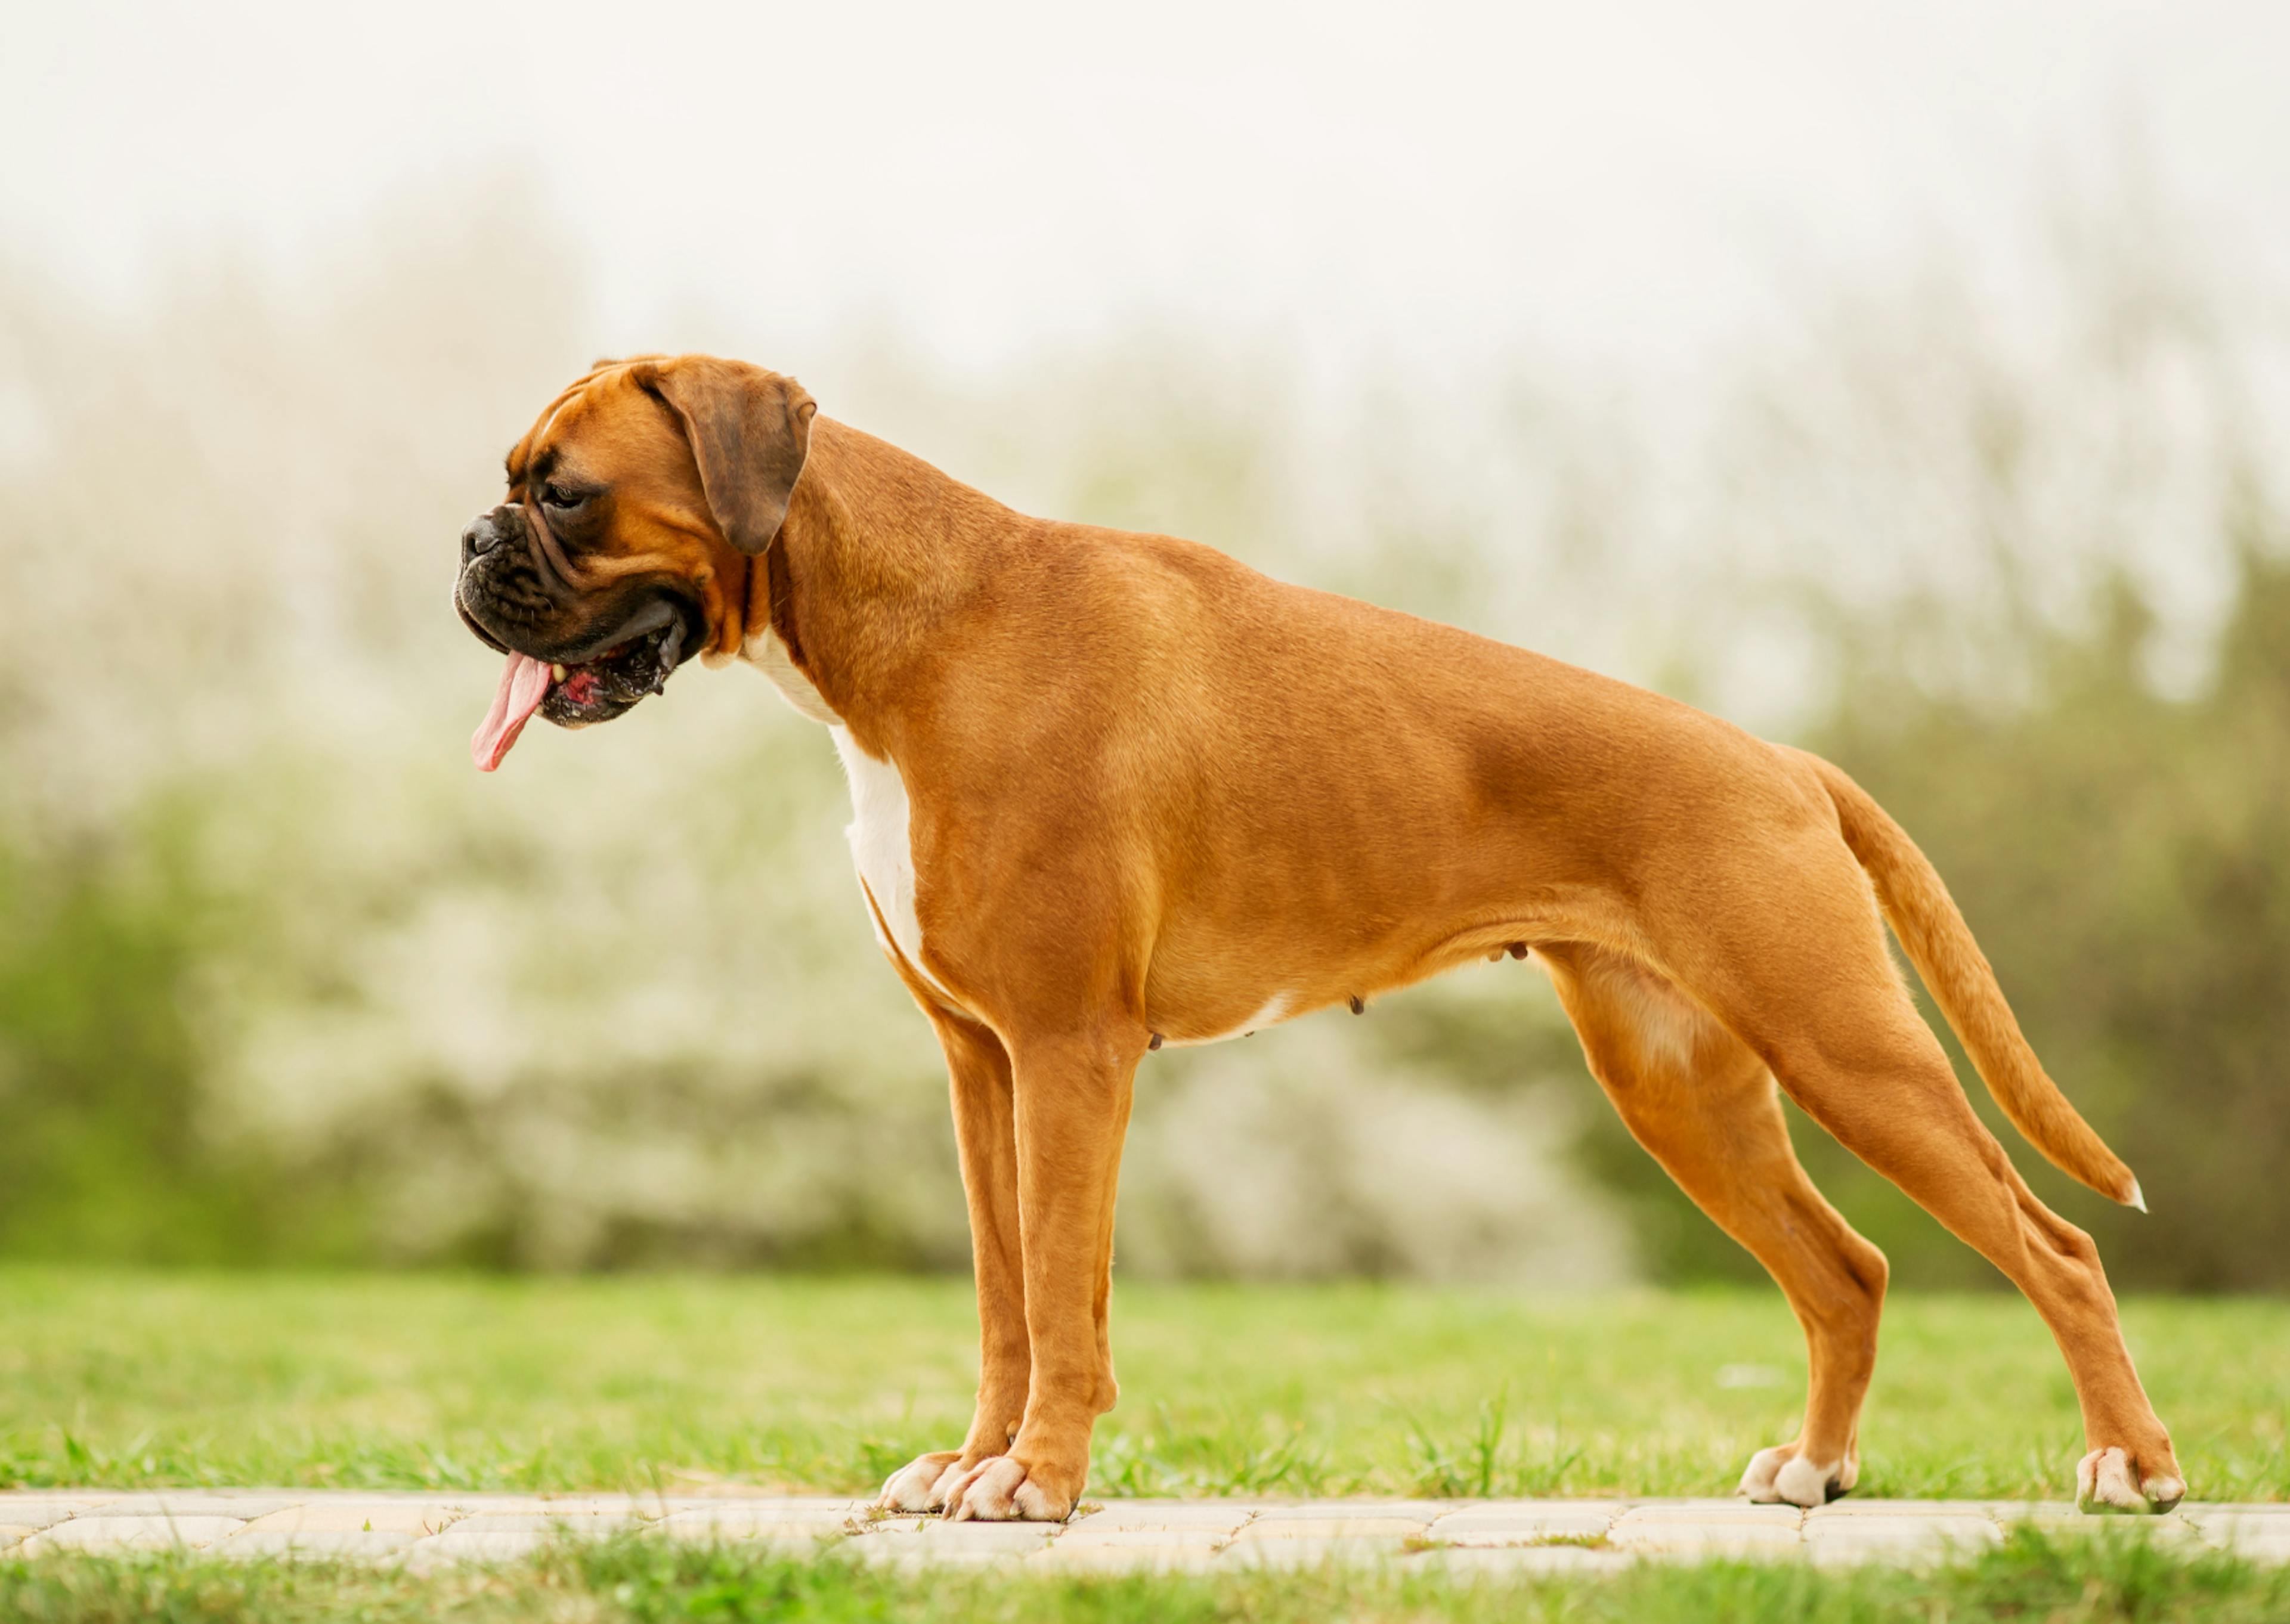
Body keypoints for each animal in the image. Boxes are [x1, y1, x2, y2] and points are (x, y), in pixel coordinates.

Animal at [446, 355, 2180, 1521]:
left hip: (1843, 1046)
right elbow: (1007, 1296)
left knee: (2052, 1247)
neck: (915, 626)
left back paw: (2130, 1466)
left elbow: (1063, 1290)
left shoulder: (1071, 1053)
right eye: (515, 481)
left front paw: (1040, 1479)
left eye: (564, 489)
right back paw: (1814, 1469)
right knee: (1847, 1269)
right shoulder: (980, 1065)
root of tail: (1782, 759)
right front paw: (976, 1460)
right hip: (1684, 1087)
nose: (466, 545)